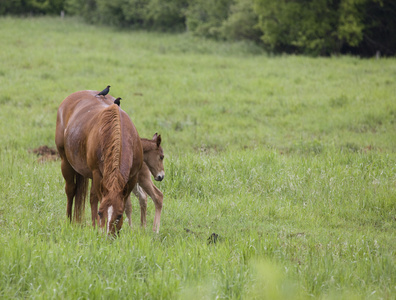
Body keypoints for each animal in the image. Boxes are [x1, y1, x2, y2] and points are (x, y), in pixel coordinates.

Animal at [55, 90, 143, 236]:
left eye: (119, 216)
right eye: (100, 213)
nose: (107, 236)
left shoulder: (132, 178)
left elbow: (124, 202)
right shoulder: (97, 174)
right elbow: (94, 199)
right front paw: (96, 226)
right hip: (65, 163)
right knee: (71, 190)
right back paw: (69, 220)